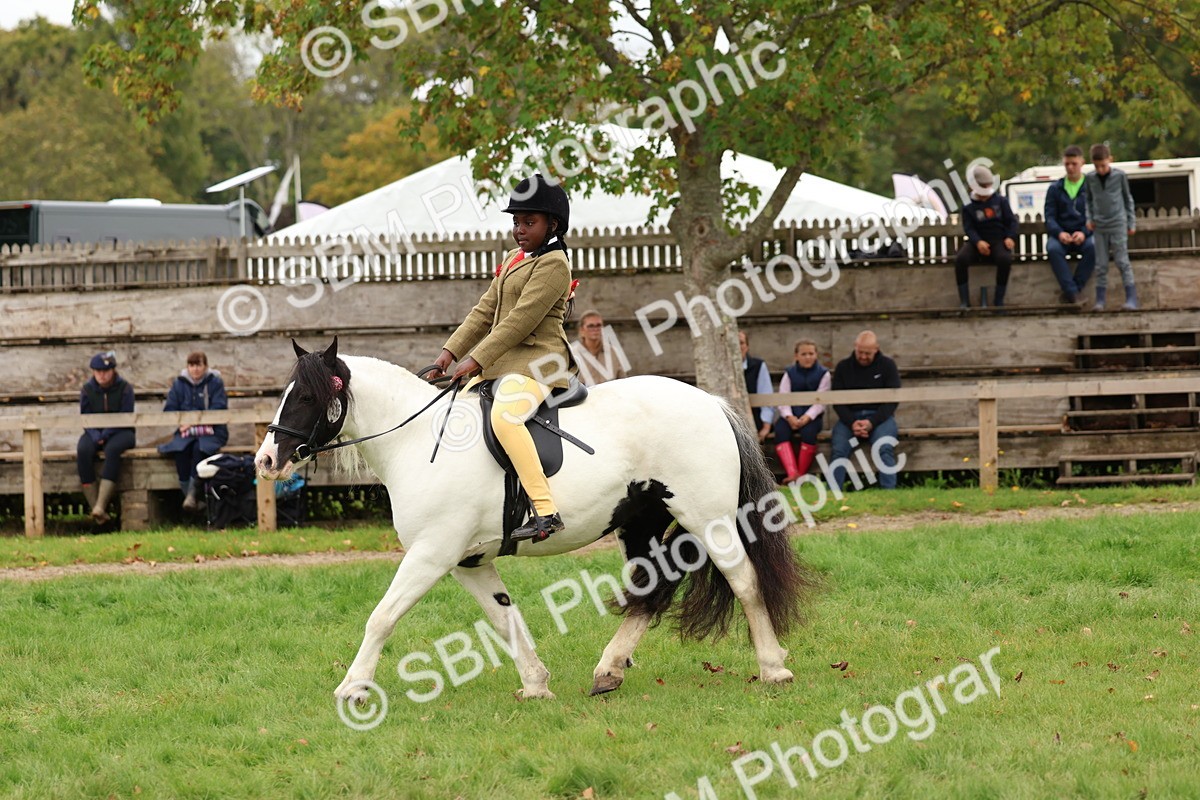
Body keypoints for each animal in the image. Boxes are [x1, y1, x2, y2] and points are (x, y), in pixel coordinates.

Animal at [254, 338, 821, 701]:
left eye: (307, 396)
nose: (265, 460)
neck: (417, 441)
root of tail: (711, 402)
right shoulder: (467, 561)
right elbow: (504, 617)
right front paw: (535, 684)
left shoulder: (431, 554)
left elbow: (382, 616)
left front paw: (352, 687)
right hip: (640, 522)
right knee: (653, 590)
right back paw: (608, 671)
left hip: (708, 518)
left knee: (744, 581)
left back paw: (773, 668)